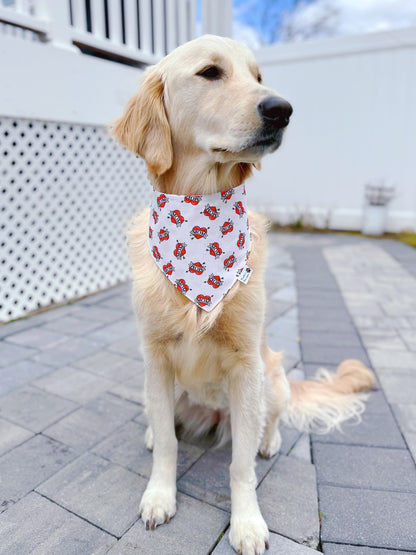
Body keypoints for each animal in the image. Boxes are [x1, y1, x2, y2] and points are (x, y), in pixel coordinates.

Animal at [112, 34, 376, 555]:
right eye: (211, 72)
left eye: (257, 77)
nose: (282, 109)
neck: (199, 222)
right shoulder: (155, 356)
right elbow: (170, 444)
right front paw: (159, 495)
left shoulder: (244, 364)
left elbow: (240, 465)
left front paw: (248, 523)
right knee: (164, 421)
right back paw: (154, 430)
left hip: (271, 378)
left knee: (267, 423)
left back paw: (268, 441)